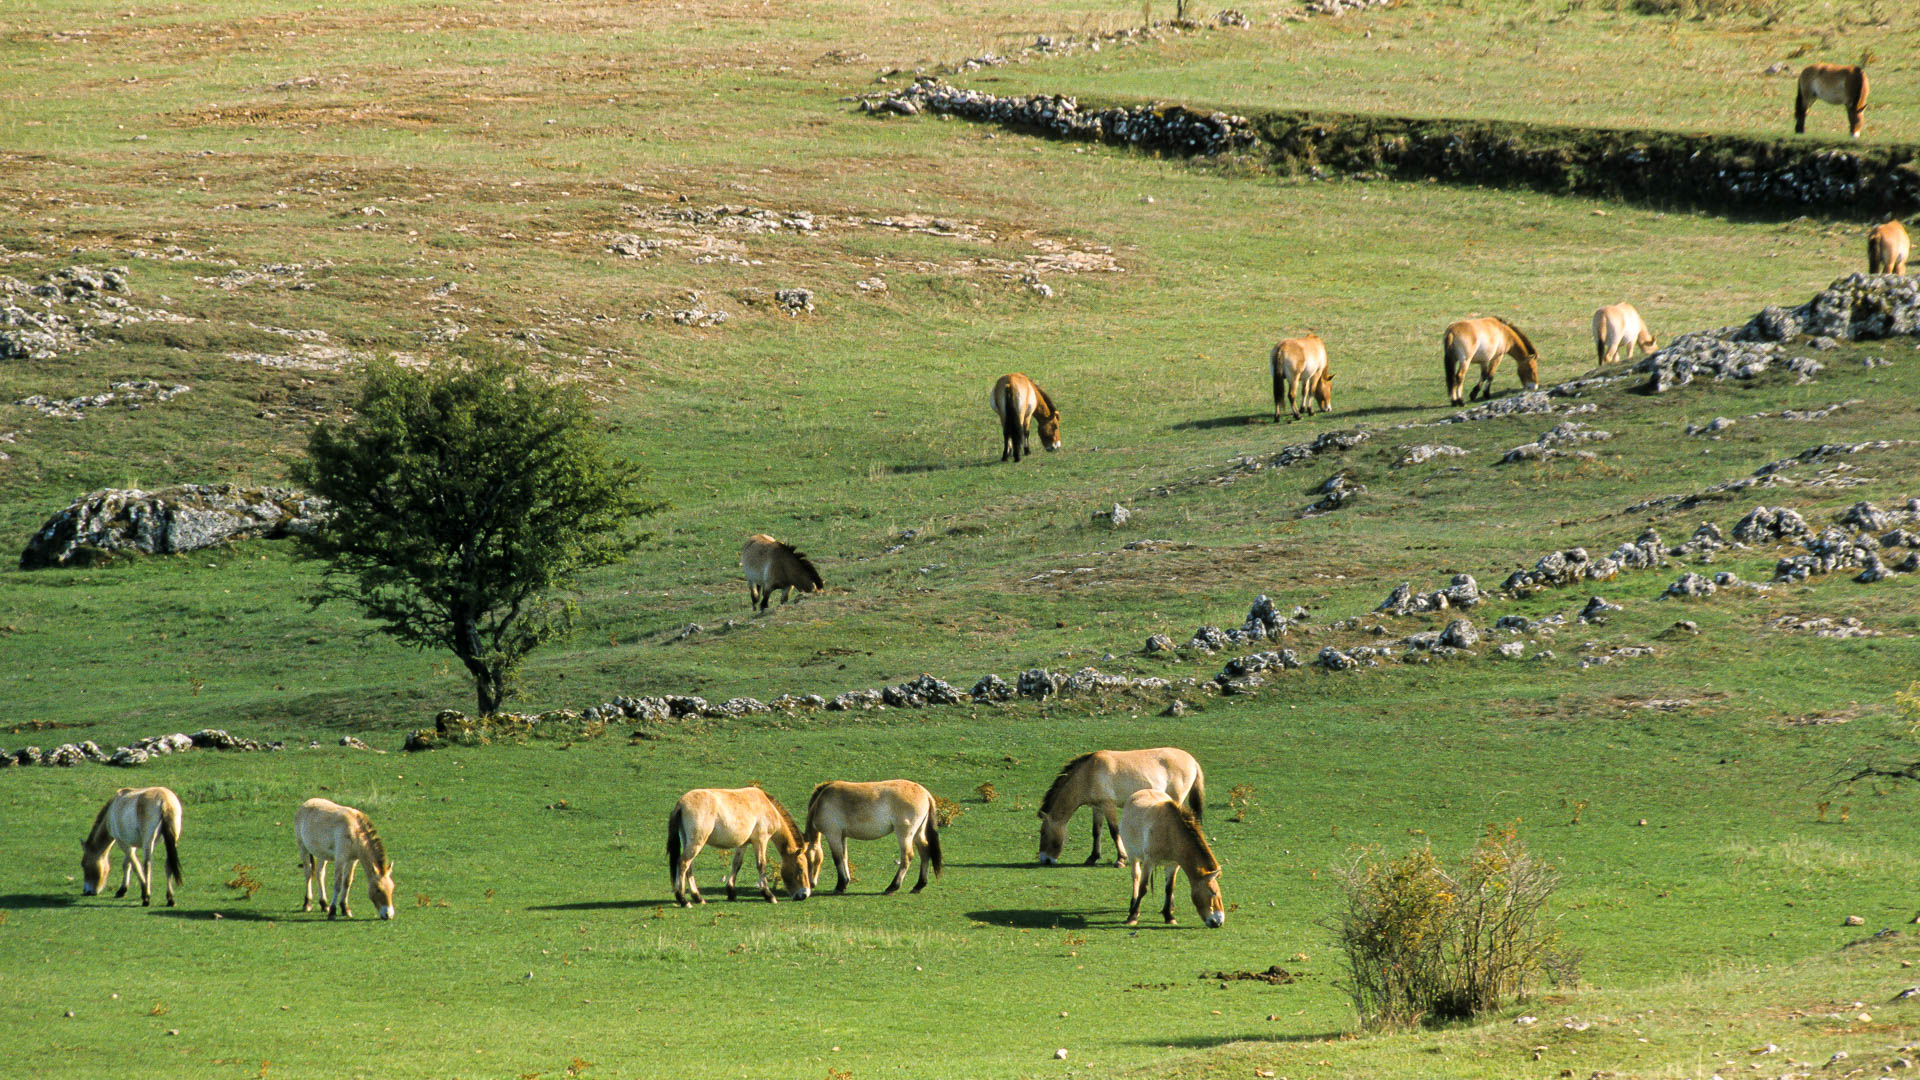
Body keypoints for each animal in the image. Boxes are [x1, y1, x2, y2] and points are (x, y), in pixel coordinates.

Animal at [666, 786, 816, 905]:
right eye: (800, 869)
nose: (804, 894)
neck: (766, 806)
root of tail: (681, 803)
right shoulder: (761, 841)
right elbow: (761, 865)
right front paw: (768, 895)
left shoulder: (742, 844)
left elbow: (737, 864)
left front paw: (731, 892)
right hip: (697, 842)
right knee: (683, 863)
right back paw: (683, 900)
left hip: (688, 841)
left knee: (688, 867)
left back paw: (698, 897)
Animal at [803, 779, 942, 894]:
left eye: (807, 860)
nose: (811, 884)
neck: (821, 801)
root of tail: (925, 793)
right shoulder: (842, 836)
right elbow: (844, 857)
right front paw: (846, 882)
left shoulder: (833, 835)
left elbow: (837, 858)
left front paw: (840, 886)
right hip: (918, 833)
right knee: (925, 852)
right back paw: (919, 886)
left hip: (905, 834)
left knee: (907, 856)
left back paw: (892, 887)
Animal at [1036, 747, 1204, 867]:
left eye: (1043, 832)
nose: (1045, 859)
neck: (1088, 773)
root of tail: (1193, 761)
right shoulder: (1097, 808)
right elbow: (1096, 832)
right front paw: (1093, 857)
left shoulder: (1108, 805)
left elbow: (1114, 831)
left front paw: (1121, 859)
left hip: (1177, 799)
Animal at [1119, 790, 1225, 928]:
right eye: (1213, 892)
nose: (1219, 922)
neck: (1170, 831)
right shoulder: (1149, 862)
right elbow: (1143, 888)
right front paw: (1133, 916)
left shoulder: (1173, 865)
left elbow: (1169, 889)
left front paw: (1168, 916)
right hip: (1133, 856)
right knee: (1136, 876)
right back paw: (1133, 905)